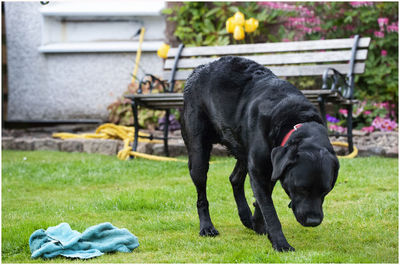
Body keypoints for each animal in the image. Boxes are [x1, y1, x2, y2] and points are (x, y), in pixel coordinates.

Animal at [181, 56, 338, 251]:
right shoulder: (259, 170)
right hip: (199, 154)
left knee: (234, 179)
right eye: (301, 188)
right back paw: (207, 227)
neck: (293, 121)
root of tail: (199, 68)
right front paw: (280, 243)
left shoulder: (269, 169)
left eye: (326, 190)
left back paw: (246, 217)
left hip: (242, 149)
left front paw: (257, 223)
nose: (313, 221)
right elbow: (270, 211)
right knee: (202, 194)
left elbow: (262, 201)